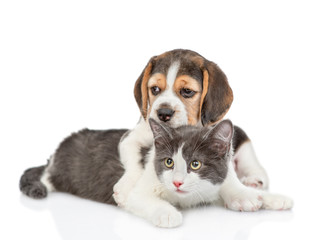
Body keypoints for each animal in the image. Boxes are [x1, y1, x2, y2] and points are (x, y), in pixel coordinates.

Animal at [19, 119, 292, 228]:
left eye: (195, 164)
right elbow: (143, 199)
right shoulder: (136, 189)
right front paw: (168, 214)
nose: (178, 182)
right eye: (169, 162)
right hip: (61, 172)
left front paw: (268, 198)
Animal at [113, 48, 268, 206]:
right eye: (155, 89)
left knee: (253, 166)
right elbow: (133, 160)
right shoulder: (130, 138)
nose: (163, 113)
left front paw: (240, 194)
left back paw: (254, 180)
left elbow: (228, 172)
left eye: (187, 91)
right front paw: (128, 186)